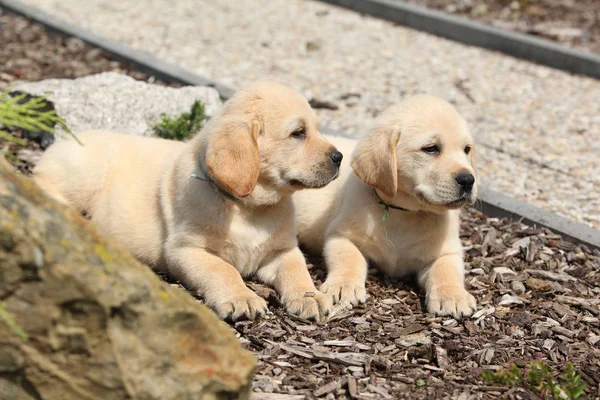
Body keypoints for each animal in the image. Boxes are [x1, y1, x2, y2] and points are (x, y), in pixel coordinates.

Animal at [34, 81, 342, 322]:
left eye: (316, 129)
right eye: (298, 133)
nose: (338, 157)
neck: (247, 207)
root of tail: (64, 138)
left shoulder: (282, 250)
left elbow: (297, 270)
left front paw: (310, 296)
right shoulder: (185, 250)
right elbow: (223, 269)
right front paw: (241, 297)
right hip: (85, 173)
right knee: (41, 184)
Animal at [296, 94, 478, 318]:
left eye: (467, 149)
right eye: (431, 148)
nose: (468, 180)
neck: (404, 213)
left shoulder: (448, 251)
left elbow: (446, 270)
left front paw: (452, 295)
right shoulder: (340, 236)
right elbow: (348, 258)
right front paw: (342, 285)